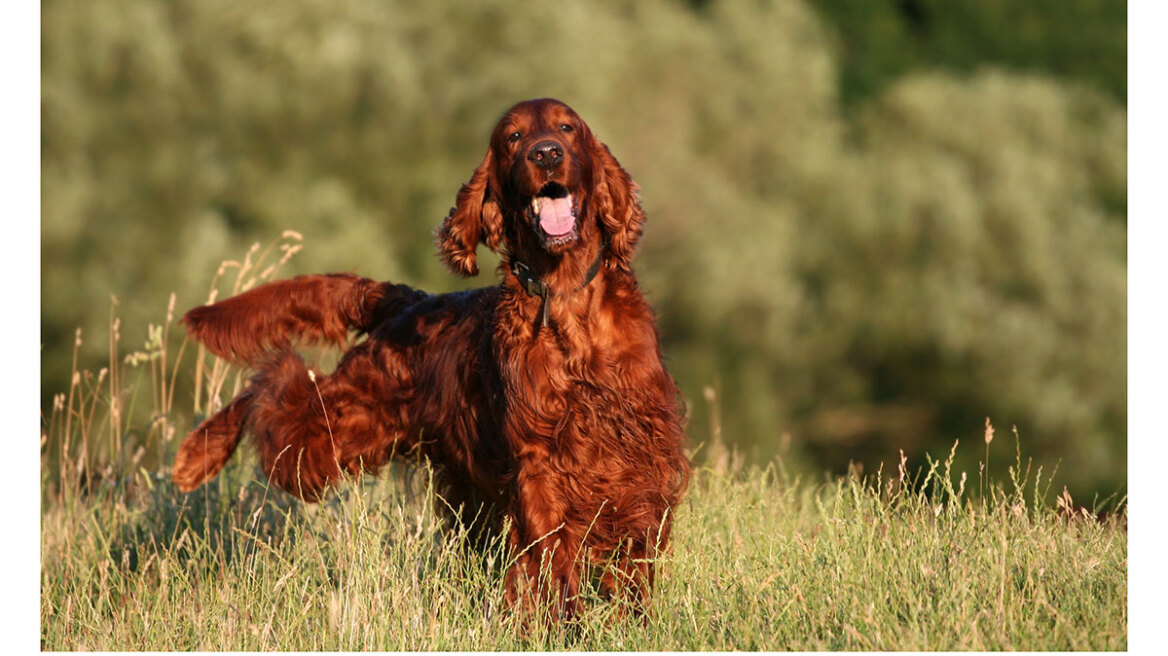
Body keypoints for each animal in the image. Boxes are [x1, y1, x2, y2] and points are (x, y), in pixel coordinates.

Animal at [169, 96, 686, 611]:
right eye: (513, 137)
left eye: (567, 127)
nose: (545, 154)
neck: (563, 298)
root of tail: (409, 300)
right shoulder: (539, 464)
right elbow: (551, 557)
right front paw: (559, 621)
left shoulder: (639, 456)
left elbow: (631, 553)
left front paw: (629, 617)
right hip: (331, 435)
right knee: (272, 383)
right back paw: (198, 454)